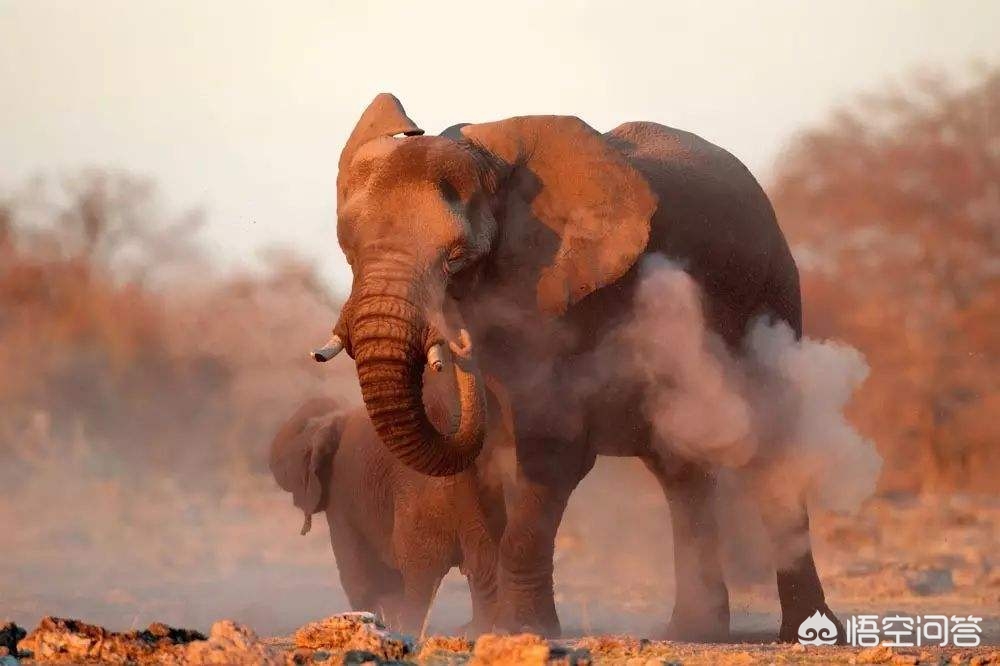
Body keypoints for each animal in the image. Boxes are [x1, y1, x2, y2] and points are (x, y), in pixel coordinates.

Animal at [314, 93, 844, 640]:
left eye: (457, 258)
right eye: (349, 249)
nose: (457, 346)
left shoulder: (571, 296)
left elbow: (553, 451)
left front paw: (525, 631)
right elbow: (474, 468)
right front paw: (484, 631)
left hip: (773, 293)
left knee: (772, 449)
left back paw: (803, 633)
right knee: (680, 469)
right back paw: (693, 630)